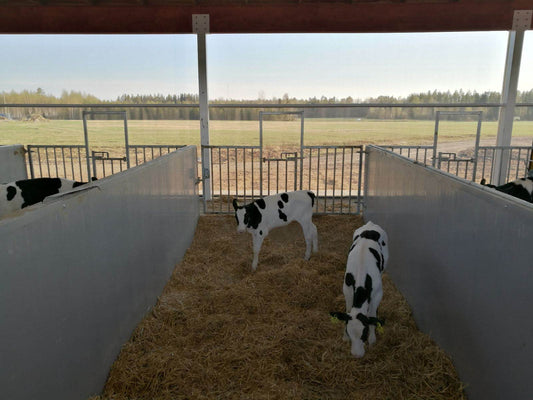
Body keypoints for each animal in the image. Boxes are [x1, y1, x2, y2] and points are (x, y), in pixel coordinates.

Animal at [328, 220, 386, 358]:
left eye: (364, 334)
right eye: (349, 333)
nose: (357, 355)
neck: (361, 272)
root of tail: (370, 224)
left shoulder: (378, 293)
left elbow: (372, 314)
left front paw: (372, 339)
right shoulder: (347, 289)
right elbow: (348, 310)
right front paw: (344, 337)